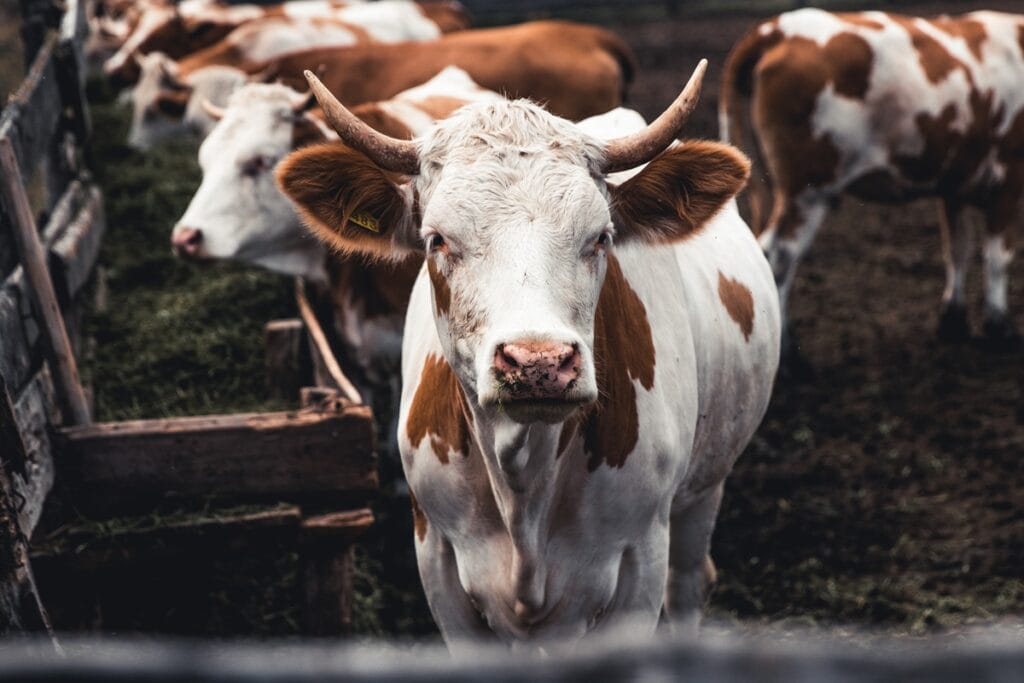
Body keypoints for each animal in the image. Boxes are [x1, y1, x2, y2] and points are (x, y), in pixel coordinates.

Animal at [275, 63, 781, 646]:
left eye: (601, 236)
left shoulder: (640, 564)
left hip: (703, 492)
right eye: (437, 239)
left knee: (689, 584)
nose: (538, 363)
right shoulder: (438, 564)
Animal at [721, 8, 1024, 348]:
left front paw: (953, 322)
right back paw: (790, 354)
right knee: (778, 255)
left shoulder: (954, 184)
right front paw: (1000, 327)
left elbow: (957, 250)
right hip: (808, 190)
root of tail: (776, 28)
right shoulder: (1008, 177)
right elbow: (998, 256)